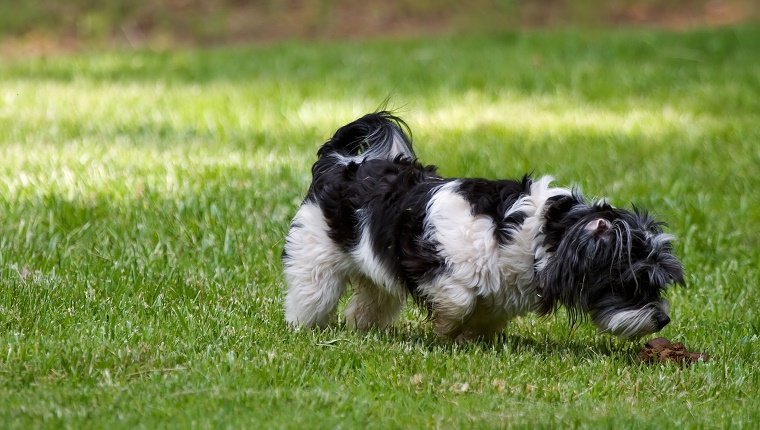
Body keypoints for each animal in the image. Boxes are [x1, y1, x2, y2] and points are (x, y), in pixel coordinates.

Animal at [282, 112, 684, 340]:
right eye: (634, 283)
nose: (663, 319)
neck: (536, 231)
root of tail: (341, 161)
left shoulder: (502, 289)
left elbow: (490, 312)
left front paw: (473, 336)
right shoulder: (434, 261)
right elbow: (460, 300)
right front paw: (446, 328)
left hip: (372, 263)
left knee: (373, 298)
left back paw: (361, 324)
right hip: (316, 257)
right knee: (312, 292)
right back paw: (305, 326)